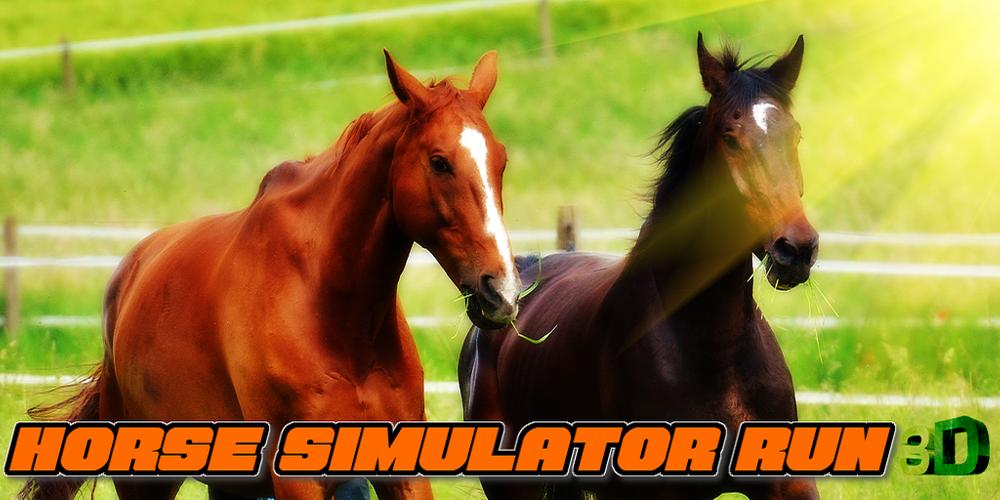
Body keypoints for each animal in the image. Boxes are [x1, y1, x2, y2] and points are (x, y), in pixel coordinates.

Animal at [21, 50, 521, 500]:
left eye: (500, 161)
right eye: (439, 161)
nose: (502, 290)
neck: (334, 309)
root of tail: (127, 277)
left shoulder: (401, 473)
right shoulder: (298, 479)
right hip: (145, 481)